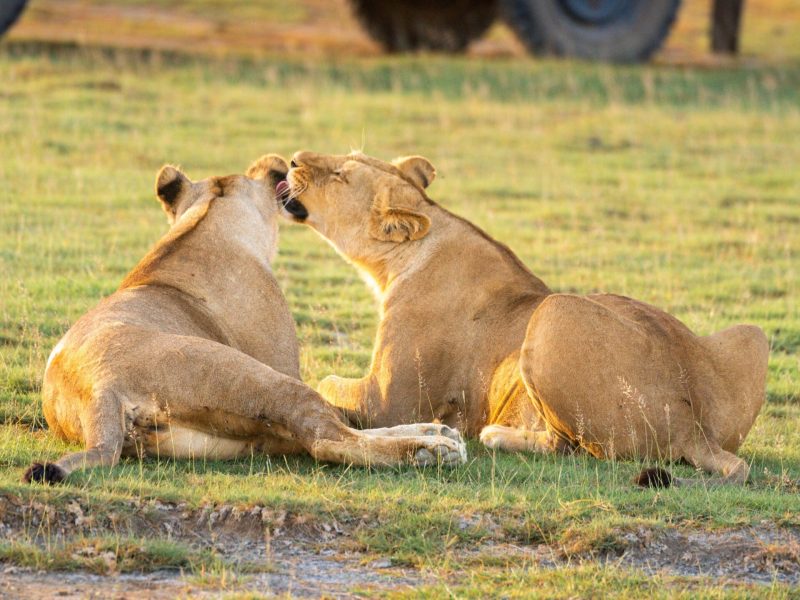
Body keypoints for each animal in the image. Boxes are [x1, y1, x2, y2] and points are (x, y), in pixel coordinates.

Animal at [23, 155, 466, 484]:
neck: (205, 226)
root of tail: (98, 389)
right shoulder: (281, 363)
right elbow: (337, 416)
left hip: (224, 437)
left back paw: (434, 437)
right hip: (254, 379)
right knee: (328, 439)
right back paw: (429, 451)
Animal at [276, 150, 769, 486]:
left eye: (340, 175)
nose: (295, 158)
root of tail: (692, 427)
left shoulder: (387, 401)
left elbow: (327, 384)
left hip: (553, 312)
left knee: (570, 447)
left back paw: (495, 434)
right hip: (754, 333)